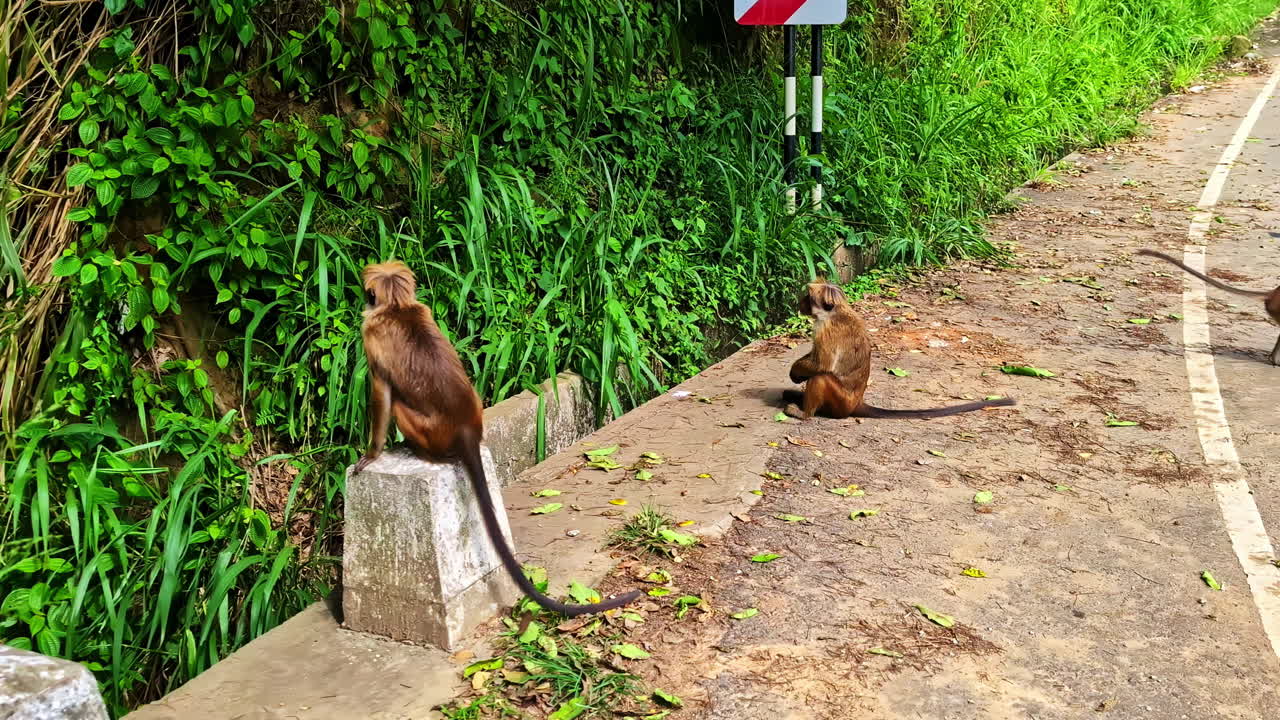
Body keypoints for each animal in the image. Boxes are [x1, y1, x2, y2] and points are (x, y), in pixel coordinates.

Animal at [353, 261, 641, 617]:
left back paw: (420, 452)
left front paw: (371, 455)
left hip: (419, 425)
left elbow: (381, 394)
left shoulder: (370, 334)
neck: (397, 306)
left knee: (397, 406)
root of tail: (466, 429)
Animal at [784, 281, 1016, 420]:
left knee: (821, 378)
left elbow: (821, 364)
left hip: (841, 404)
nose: (799, 302)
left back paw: (804, 413)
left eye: (808, 298)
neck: (837, 312)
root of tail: (857, 403)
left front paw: (796, 372)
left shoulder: (824, 329)